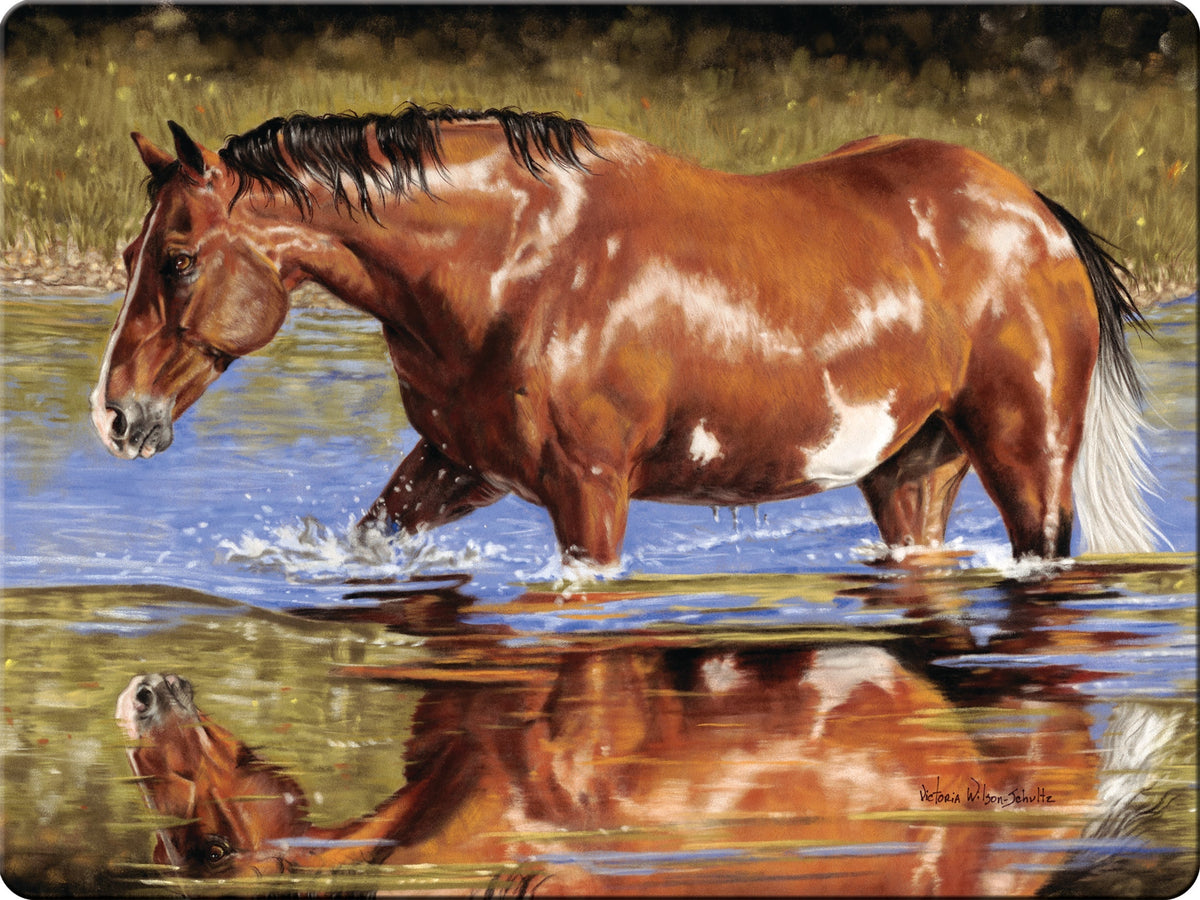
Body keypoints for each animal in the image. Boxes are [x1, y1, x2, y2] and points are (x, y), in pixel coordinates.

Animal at [90, 105, 1158, 569]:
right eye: (132, 251)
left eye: (177, 259)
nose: (115, 417)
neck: (516, 258)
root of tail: (1036, 212)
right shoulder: (457, 465)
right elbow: (371, 535)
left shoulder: (589, 493)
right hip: (911, 474)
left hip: (1028, 463)